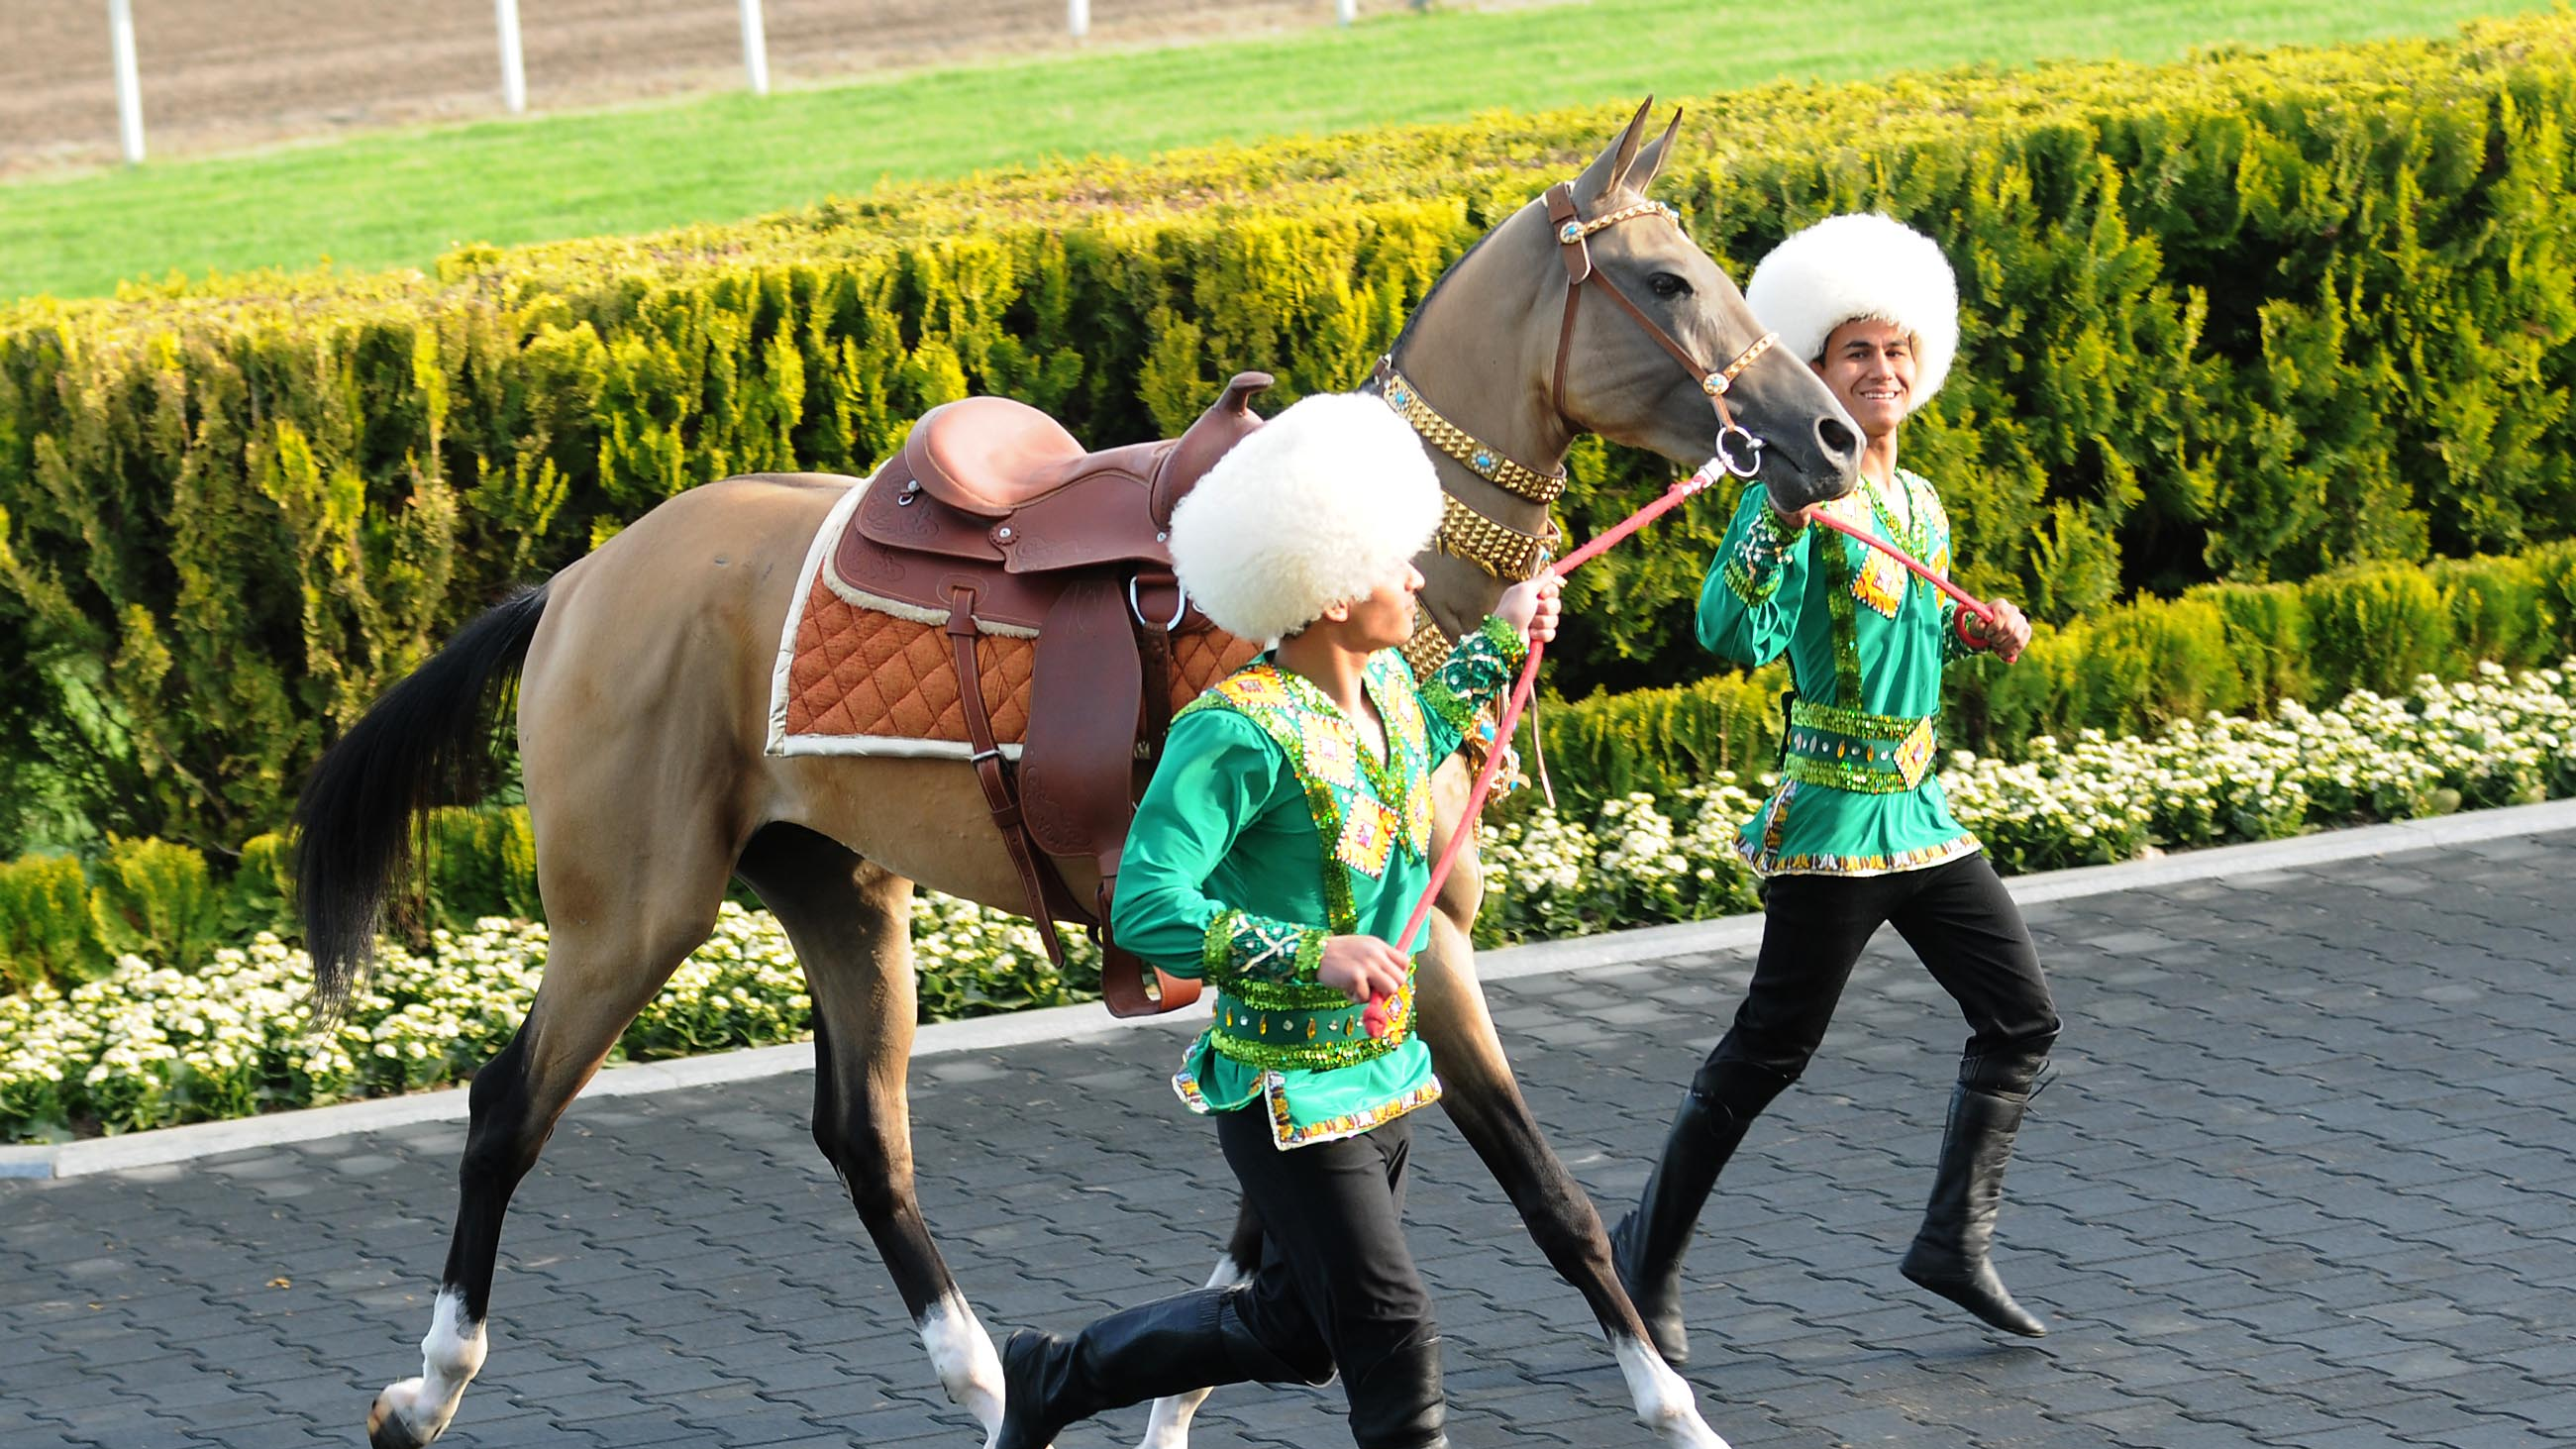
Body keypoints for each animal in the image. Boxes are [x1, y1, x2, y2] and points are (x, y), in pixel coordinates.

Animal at [301, 101, 1854, 1443]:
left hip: (838, 887)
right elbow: (1546, 1193)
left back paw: (990, 1378)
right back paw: (429, 1383)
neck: (1363, 568)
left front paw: (1172, 1399)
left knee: (862, 1135)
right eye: (1668, 278)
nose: (1829, 435)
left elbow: (1272, 1219)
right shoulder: (1416, 945)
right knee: (506, 1110)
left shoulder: (1347, 944)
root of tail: (574, 584)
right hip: (632, 905)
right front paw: (1675, 1404)